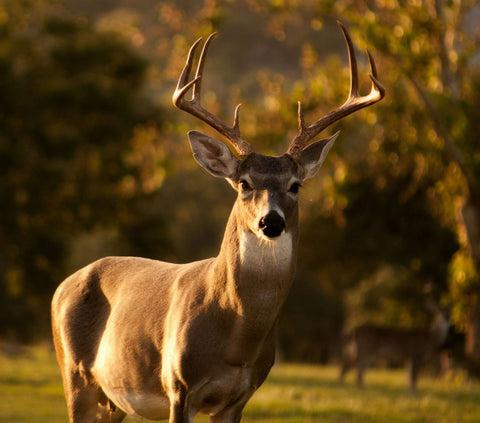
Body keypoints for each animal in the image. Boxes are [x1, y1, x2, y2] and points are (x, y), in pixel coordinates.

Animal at [50, 23, 384, 423]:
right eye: (244, 184)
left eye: (295, 185)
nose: (270, 222)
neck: (236, 337)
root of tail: (61, 287)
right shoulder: (179, 387)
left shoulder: (240, 397)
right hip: (75, 375)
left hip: (112, 400)